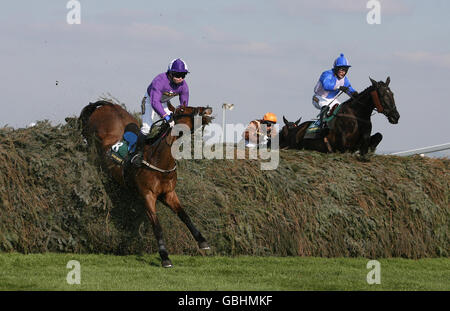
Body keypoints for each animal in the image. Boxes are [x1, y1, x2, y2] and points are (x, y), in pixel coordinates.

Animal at [79, 100, 213, 268]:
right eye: (182, 110)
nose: (206, 109)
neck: (159, 160)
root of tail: (107, 105)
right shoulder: (147, 195)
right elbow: (157, 226)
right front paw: (164, 257)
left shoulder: (169, 193)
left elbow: (184, 215)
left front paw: (202, 241)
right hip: (91, 135)